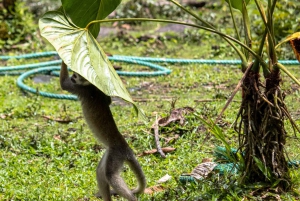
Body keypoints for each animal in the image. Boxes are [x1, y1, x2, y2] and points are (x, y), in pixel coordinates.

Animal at [59, 61, 146, 201]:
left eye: (76, 76)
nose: (72, 77)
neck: (90, 85)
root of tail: (126, 148)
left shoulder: (80, 88)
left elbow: (63, 84)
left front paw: (63, 60)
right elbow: (108, 100)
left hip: (116, 155)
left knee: (111, 176)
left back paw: (132, 198)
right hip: (111, 153)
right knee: (101, 172)